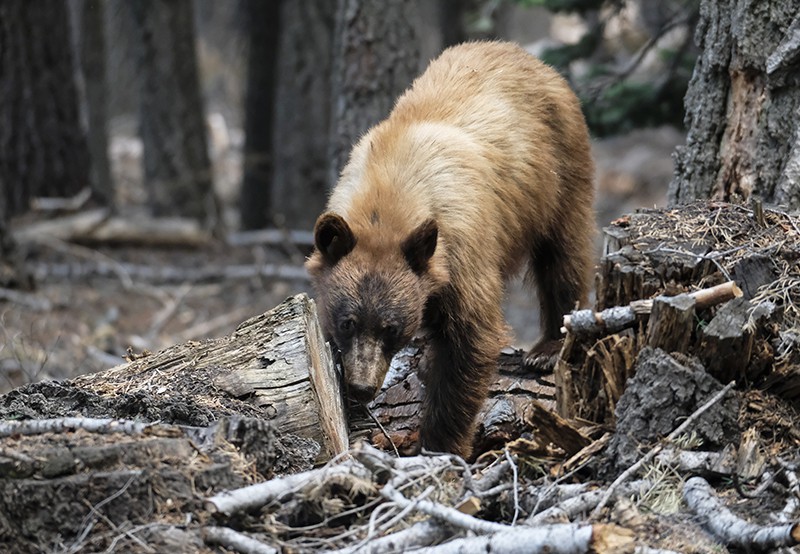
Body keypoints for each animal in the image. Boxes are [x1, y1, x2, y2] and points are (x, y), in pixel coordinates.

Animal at [306, 40, 592, 458]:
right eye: (347, 322)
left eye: (391, 327)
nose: (361, 388)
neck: (389, 194)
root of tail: (527, 57)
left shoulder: (463, 247)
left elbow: (470, 339)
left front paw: (439, 443)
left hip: (559, 173)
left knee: (564, 254)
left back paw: (549, 345)